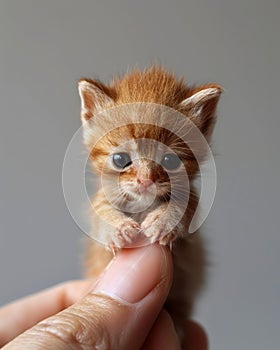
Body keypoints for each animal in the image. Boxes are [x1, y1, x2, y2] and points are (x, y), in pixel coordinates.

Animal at [77, 65, 222, 342]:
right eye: (120, 159)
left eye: (170, 160)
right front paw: (117, 229)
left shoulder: (191, 200)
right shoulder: (100, 199)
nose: (145, 180)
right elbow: (101, 212)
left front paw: (163, 222)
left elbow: (183, 206)